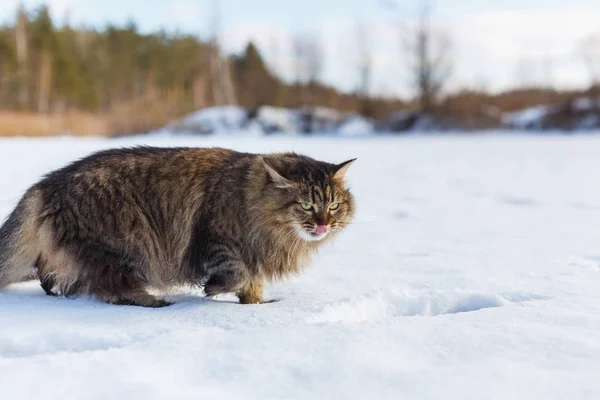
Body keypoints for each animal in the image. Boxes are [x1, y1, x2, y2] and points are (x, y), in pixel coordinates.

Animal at [0, 147, 356, 306]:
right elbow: (235, 273)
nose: (324, 224)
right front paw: (212, 289)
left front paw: (256, 308)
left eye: (333, 205)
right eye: (306, 206)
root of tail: (45, 186)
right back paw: (155, 302)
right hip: (126, 243)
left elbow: (251, 285)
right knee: (112, 289)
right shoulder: (217, 239)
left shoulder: (254, 259)